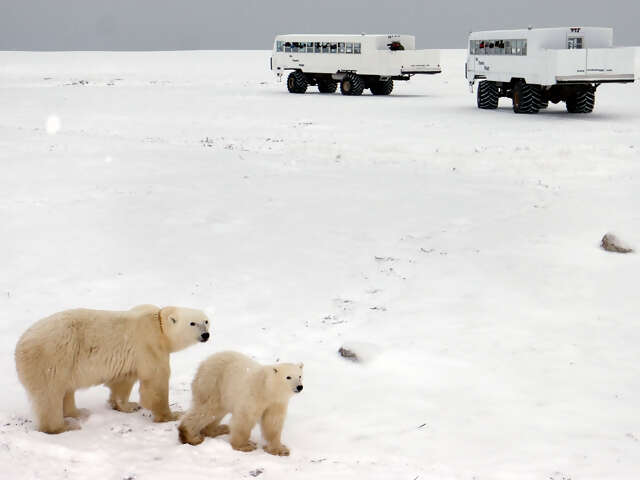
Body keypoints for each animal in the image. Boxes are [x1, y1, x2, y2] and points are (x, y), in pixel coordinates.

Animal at [14, 304, 210, 434]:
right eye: (192, 323)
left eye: (206, 321)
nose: (206, 335)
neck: (159, 324)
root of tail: (20, 346)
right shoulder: (149, 344)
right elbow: (155, 383)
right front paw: (172, 415)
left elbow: (123, 380)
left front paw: (128, 405)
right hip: (52, 358)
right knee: (49, 396)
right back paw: (64, 426)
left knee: (66, 391)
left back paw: (78, 413)